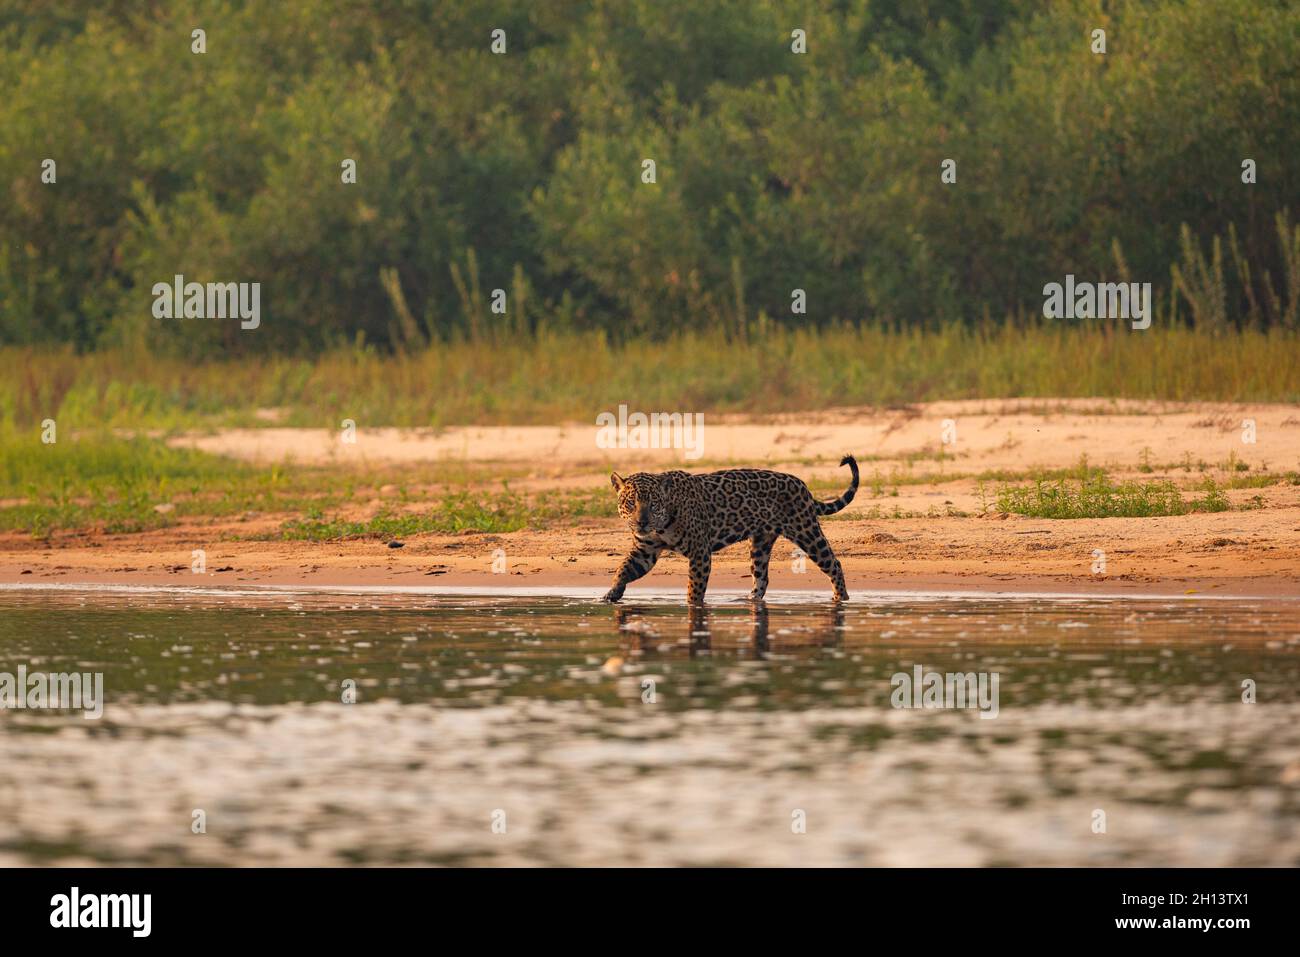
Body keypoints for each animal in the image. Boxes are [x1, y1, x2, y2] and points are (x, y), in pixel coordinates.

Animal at [603, 454, 858, 604]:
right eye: (631, 503)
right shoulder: (645, 550)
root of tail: (802, 484)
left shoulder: (700, 552)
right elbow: (623, 570)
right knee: (761, 577)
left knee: (834, 563)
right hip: (760, 544)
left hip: (806, 531)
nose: (642, 522)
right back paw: (750, 600)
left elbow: (695, 587)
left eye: (653, 504)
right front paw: (611, 595)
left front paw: (693, 606)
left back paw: (841, 598)